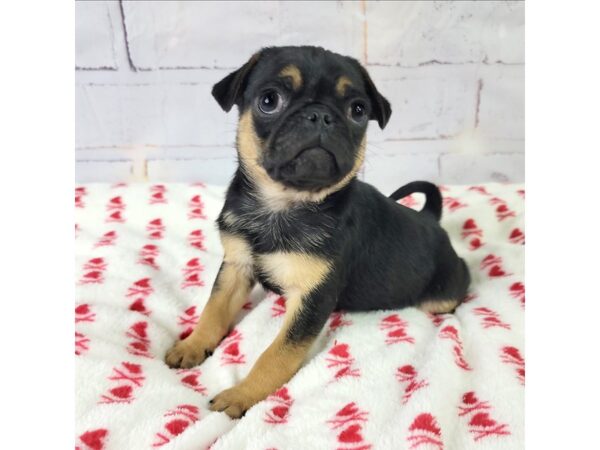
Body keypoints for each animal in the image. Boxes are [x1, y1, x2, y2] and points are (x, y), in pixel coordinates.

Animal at [166, 45, 472, 418]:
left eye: (358, 111)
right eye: (269, 100)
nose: (320, 116)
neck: (284, 205)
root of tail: (432, 220)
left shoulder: (313, 297)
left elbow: (277, 354)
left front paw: (242, 395)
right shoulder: (236, 267)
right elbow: (214, 310)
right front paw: (192, 344)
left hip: (440, 296)